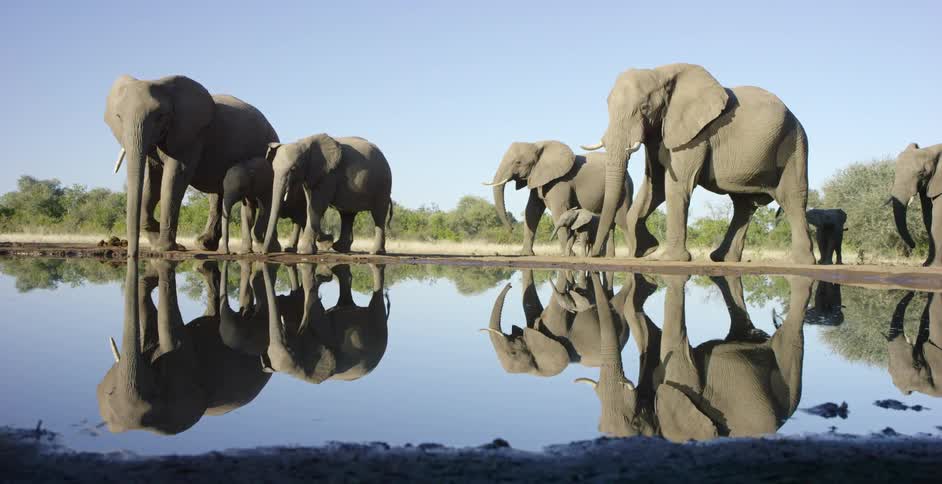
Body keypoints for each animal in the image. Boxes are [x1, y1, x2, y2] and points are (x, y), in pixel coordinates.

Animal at [105, 75, 279, 257]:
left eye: (160, 116)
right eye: (118, 117)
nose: (132, 254)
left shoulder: (191, 136)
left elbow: (174, 178)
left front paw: (164, 248)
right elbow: (153, 182)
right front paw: (156, 241)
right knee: (218, 196)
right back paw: (204, 244)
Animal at [260, 263, 390, 383]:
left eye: (290, 348)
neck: (300, 373)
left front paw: (320, 273)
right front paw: (323, 275)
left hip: (378, 329)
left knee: (377, 301)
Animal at [262, 134, 393, 255]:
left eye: (293, 169)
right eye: (273, 169)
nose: (264, 253)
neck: (304, 143)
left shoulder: (328, 174)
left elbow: (317, 205)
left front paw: (305, 252)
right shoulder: (311, 174)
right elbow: (310, 205)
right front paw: (324, 243)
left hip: (383, 186)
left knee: (378, 215)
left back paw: (375, 252)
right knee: (347, 215)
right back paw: (340, 248)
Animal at [485, 141, 632, 256]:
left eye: (518, 162)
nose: (512, 229)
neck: (538, 145)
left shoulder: (560, 182)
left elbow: (558, 210)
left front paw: (569, 255)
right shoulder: (538, 178)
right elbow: (532, 210)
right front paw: (526, 254)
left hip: (624, 188)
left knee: (622, 220)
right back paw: (608, 256)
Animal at [581, 63, 814, 264]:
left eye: (644, 107)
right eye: (607, 105)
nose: (595, 255)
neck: (660, 73)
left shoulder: (695, 135)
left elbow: (676, 186)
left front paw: (668, 258)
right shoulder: (659, 131)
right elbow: (654, 186)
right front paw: (645, 250)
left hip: (794, 143)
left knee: (792, 197)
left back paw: (800, 261)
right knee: (744, 205)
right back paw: (722, 258)